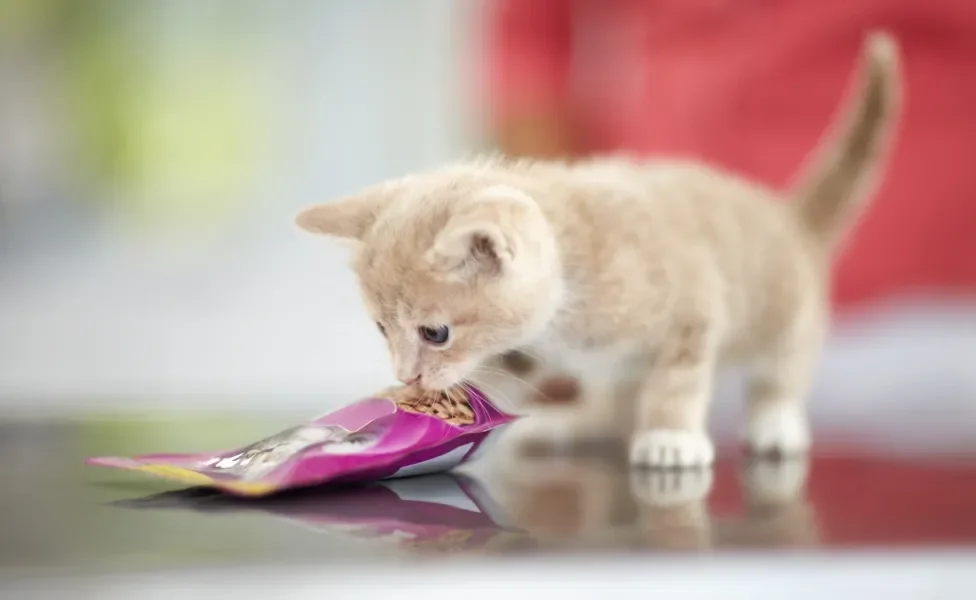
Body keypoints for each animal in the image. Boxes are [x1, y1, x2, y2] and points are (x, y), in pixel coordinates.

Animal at [296, 32, 900, 468]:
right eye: (381, 329)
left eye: (435, 333)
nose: (408, 377)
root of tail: (785, 215)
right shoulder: (535, 344)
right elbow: (503, 375)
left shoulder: (692, 307)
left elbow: (677, 380)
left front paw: (669, 433)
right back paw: (573, 425)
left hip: (788, 314)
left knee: (782, 369)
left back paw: (775, 419)